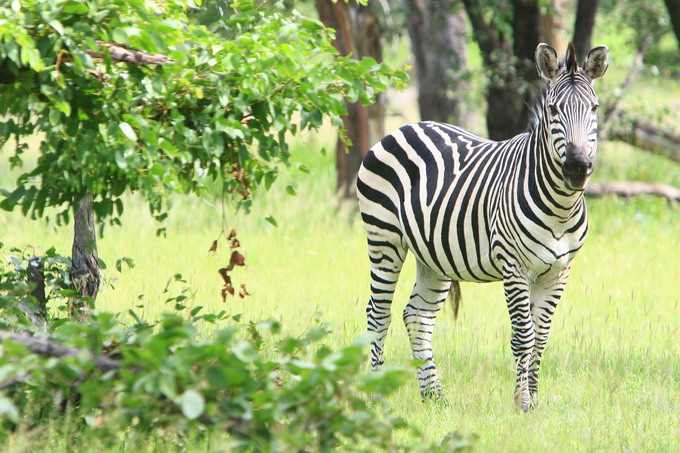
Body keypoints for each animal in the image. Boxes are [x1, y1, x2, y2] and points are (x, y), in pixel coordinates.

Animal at [358, 43, 608, 410]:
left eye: (594, 108)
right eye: (553, 110)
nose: (577, 167)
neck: (560, 208)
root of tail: (405, 127)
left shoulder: (559, 271)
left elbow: (542, 337)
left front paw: (535, 401)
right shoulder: (515, 267)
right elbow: (524, 336)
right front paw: (521, 402)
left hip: (433, 255)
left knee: (417, 315)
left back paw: (434, 396)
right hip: (384, 240)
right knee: (378, 313)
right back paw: (376, 395)